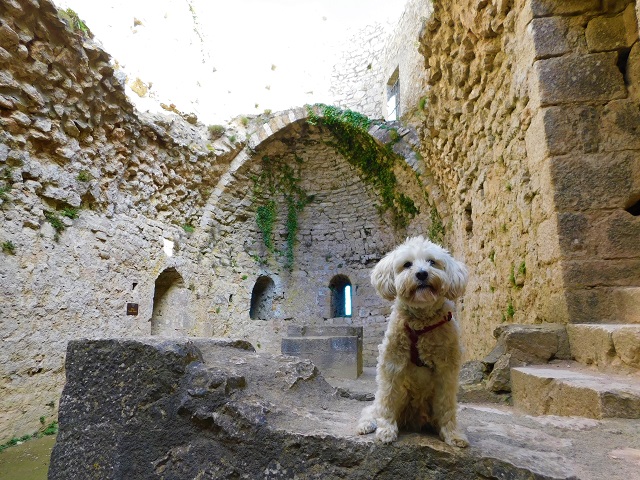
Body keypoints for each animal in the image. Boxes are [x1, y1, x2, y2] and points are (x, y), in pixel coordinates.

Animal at [356, 235, 470, 446]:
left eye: (432, 262)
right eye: (407, 264)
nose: (422, 274)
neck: (421, 324)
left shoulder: (447, 370)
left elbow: (447, 405)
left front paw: (452, 434)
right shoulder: (392, 363)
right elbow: (387, 399)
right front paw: (386, 429)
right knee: (372, 408)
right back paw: (367, 424)